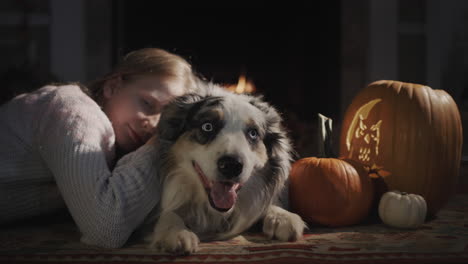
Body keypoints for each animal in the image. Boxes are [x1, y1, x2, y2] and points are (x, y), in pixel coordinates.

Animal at [148, 82, 306, 254]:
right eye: (207, 126)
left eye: (253, 133)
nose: (231, 165)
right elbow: (168, 213)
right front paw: (176, 232)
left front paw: (282, 216)